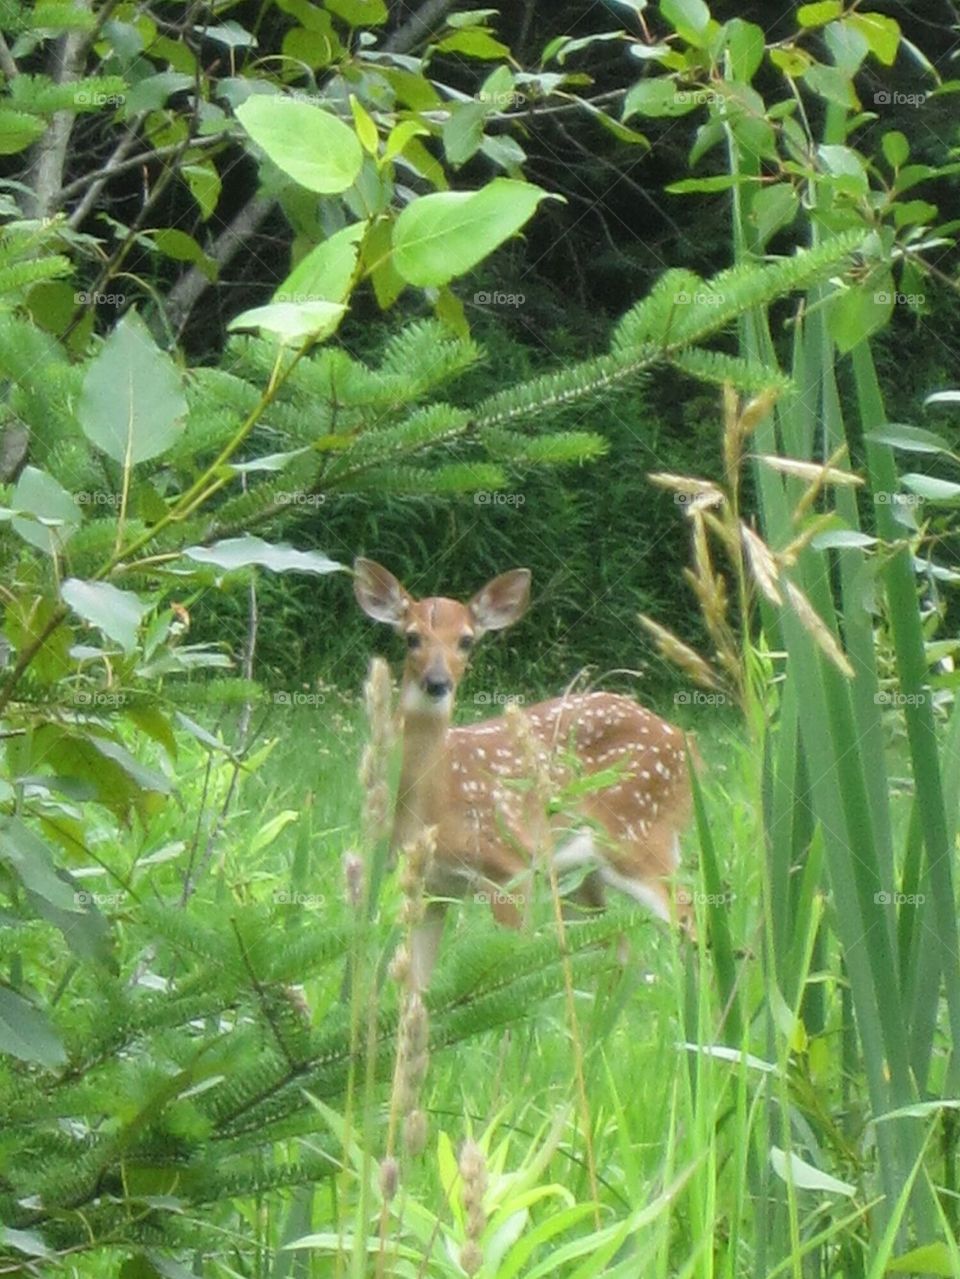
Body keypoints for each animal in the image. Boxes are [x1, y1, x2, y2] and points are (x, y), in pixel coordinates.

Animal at [353, 558, 695, 988]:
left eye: (466, 640)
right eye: (412, 637)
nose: (437, 683)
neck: (432, 802)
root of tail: (683, 742)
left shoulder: (510, 868)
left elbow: (512, 965)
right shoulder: (429, 887)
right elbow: (416, 989)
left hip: (640, 838)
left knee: (692, 924)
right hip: (580, 875)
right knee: (620, 950)